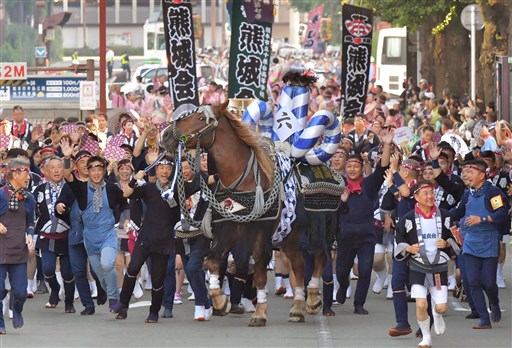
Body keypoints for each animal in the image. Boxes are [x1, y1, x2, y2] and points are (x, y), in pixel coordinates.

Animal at [161, 102, 340, 324]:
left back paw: (313, 299)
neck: (240, 181)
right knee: (298, 265)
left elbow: (260, 274)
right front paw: (221, 302)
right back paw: (297, 309)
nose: (166, 135)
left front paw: (260, 313)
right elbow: (213, 262)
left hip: (321, 226)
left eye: (201, 119)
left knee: (320, 256)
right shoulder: (228, 228)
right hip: (290, 235)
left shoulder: (260, 232)